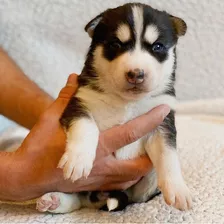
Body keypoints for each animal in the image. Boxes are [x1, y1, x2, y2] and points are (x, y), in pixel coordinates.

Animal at [36, 3, 192, 214]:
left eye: (157, 47)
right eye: (116, 45)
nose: (136, 74)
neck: (126, 101)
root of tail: (100, 197)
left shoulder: (162, 120)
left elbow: (168, 155)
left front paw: (178, 190)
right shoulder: (80, 102)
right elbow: (86, 126)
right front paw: (78, 159)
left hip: (141, 188)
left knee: (141, 191)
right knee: (75, 198)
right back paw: (53, 200)